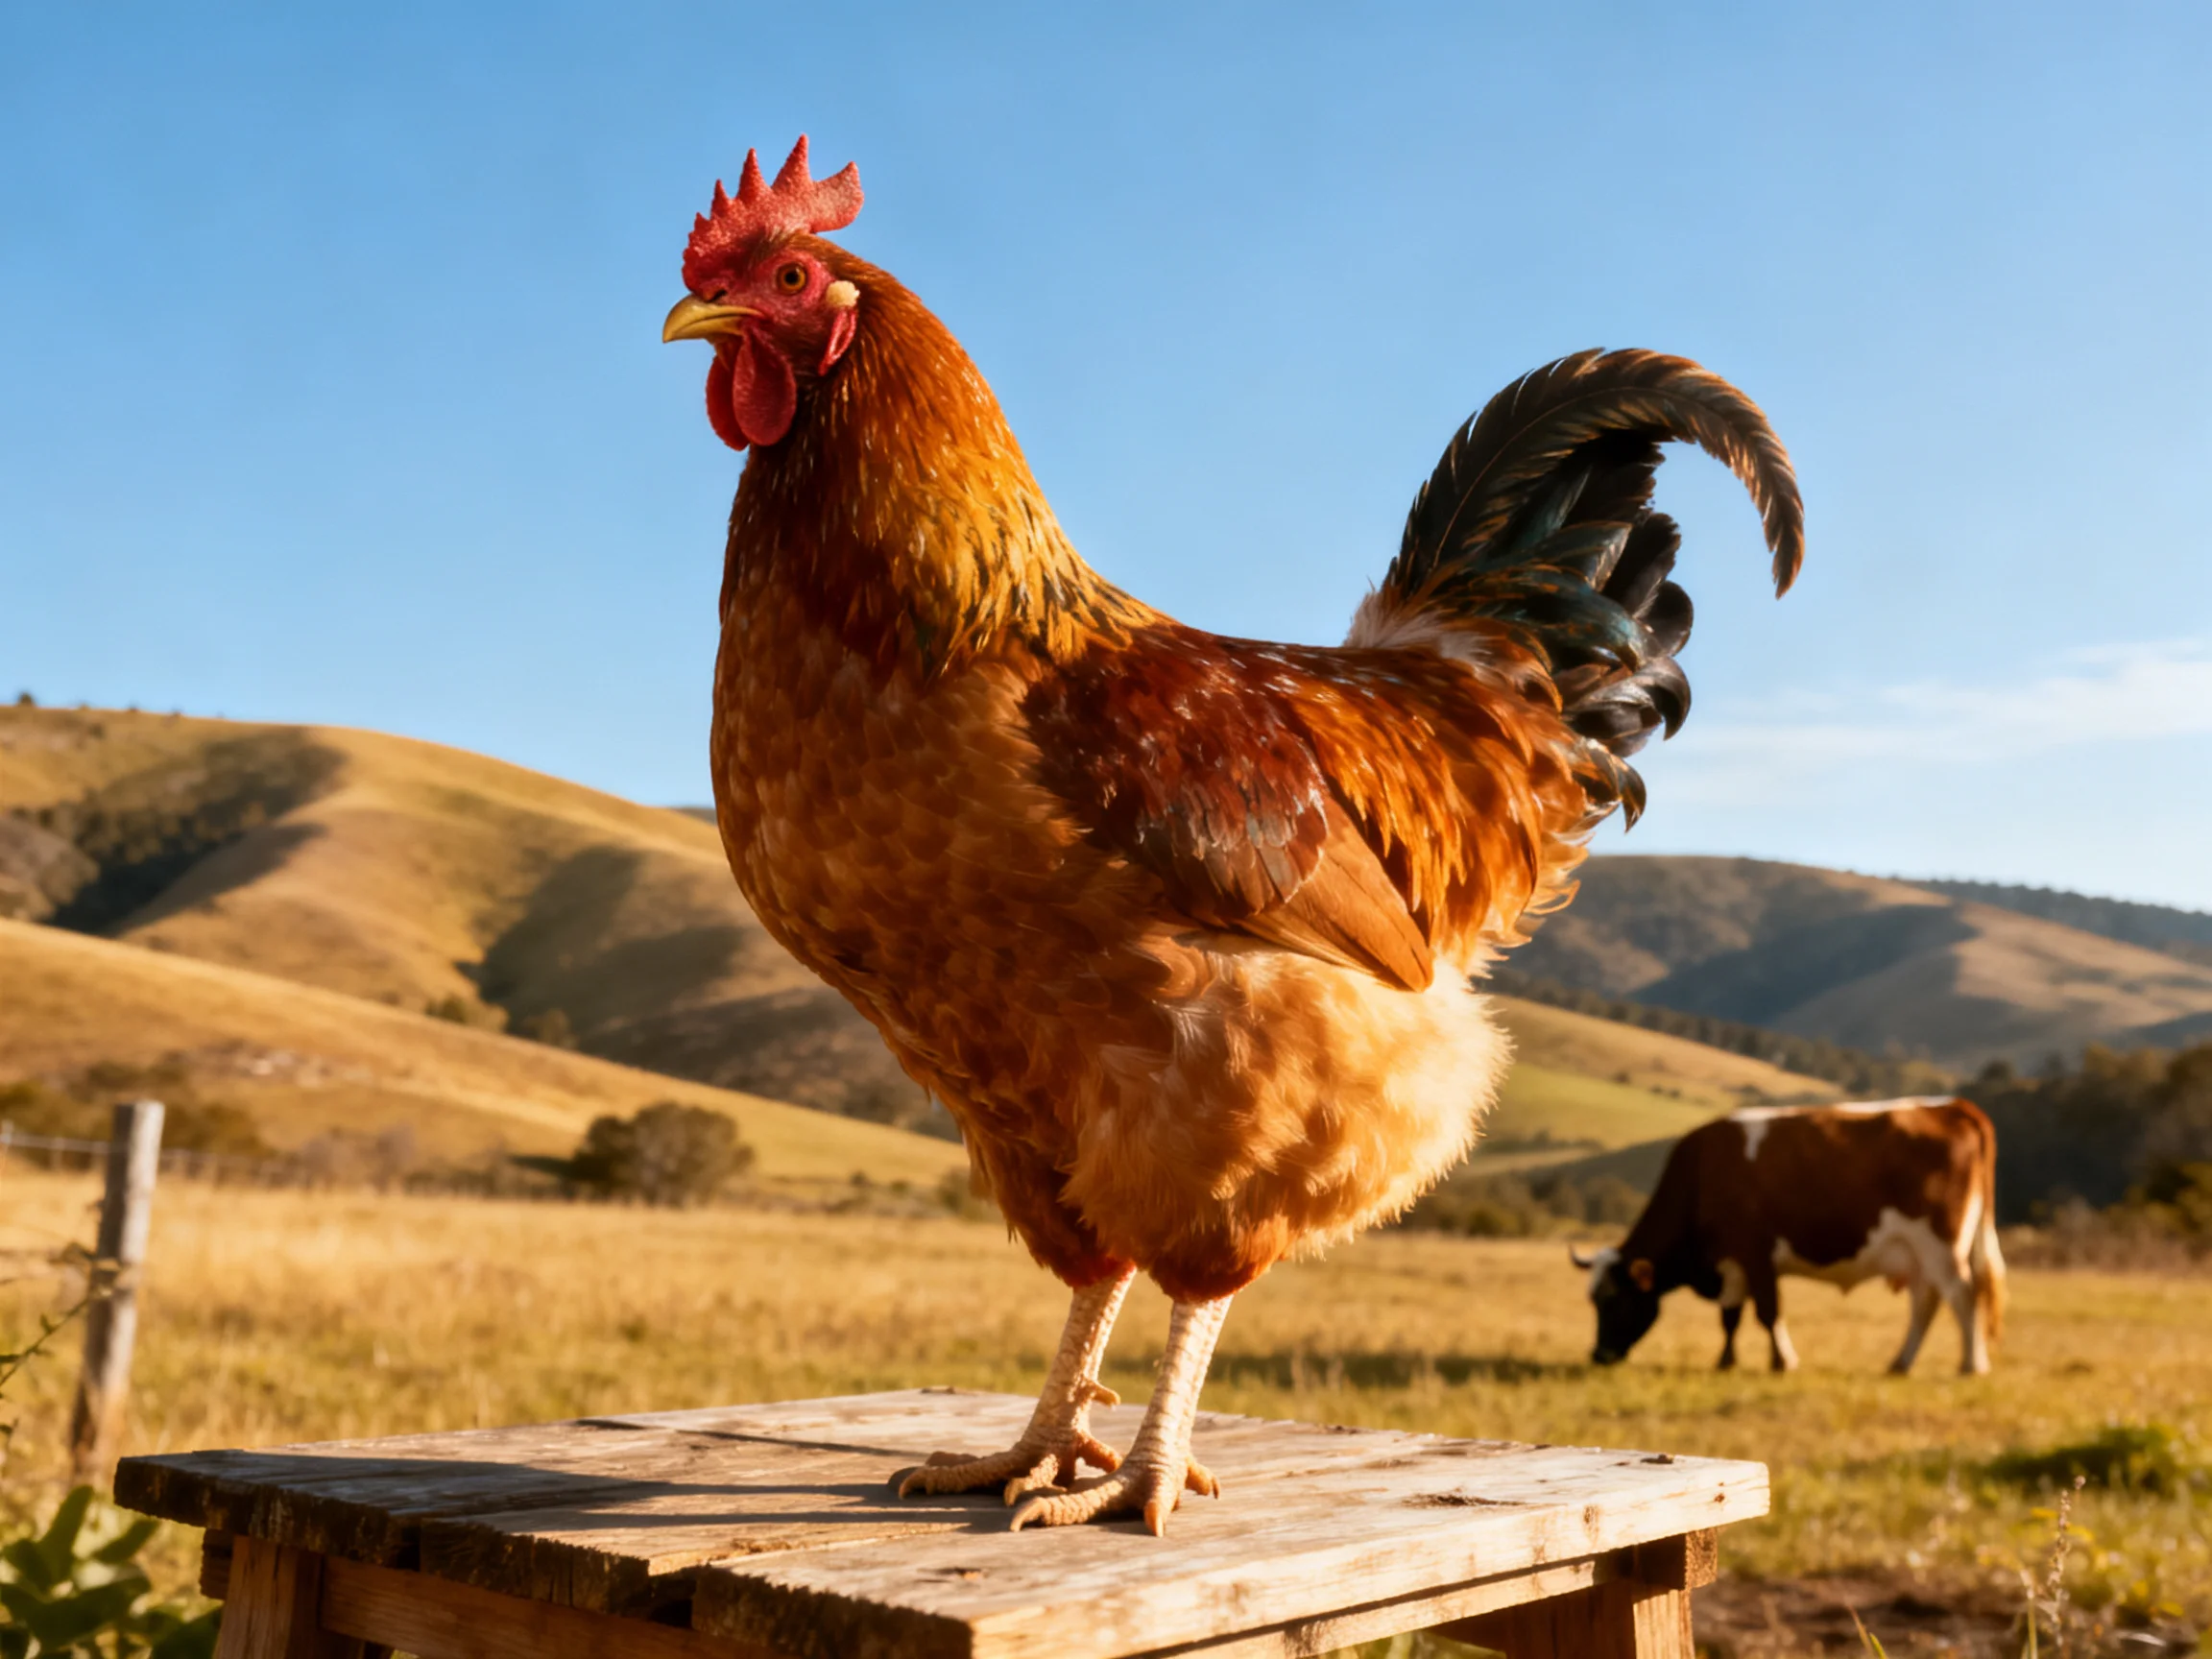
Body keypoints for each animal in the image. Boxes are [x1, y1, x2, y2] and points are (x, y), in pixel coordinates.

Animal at [1572, 1097, 2005, 1376]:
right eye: (1591, 1301)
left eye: (1613, 1300)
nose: (1598, 1355)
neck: (1701, 1175)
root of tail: (1953, 1107)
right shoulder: (1731, 1263)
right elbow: (1730, 1316)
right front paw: (1726, 1362)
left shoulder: (1755, 1254)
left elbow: (1767, 1312)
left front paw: (1783, 1362)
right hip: (1915, 1253)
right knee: (1926, 1303)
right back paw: (1901, 1363)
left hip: (1940, 1244)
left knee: (1963, 1295)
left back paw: (1972, 1365)